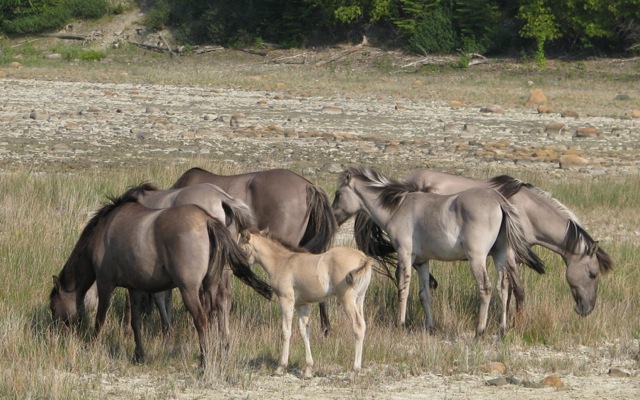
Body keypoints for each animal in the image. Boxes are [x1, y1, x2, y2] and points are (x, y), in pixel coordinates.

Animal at [48, 186, 272, 368]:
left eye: (53, 307)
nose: (57, 335)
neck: (105, 230)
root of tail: (207, 220)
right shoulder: (135, 287)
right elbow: (136, 321)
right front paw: (138, 354)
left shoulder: (105, 283)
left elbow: (100, 319)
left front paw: (93, 347)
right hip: (211, 283)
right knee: (214, 313)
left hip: (189, 289)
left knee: (201, 320)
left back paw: (204, 360)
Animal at [240, 228, 372, 378]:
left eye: (242, 248)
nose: (241, 269)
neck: (281, 262)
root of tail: (363, 258)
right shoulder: (301, 304)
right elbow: (305, 331)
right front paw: (308, 370)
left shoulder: (286, 300)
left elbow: (286, 331)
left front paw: (281, 367)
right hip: (359, 299)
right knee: (363, 325)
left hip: (347, 299)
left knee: (357, 326)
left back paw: (354, 370)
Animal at [330, 167, 544, 336]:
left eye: (338, 194)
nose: (333, 219)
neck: (398, 207)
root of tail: (500, 202)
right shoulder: (422, 262)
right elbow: (424, 294)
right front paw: (430, 326)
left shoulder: (404, 255)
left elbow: (403, 288)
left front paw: (400, 323)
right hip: (500, 254)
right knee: (504, 288)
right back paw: (502, 330)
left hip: (478, 258)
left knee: (486, 288)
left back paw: (479, 331)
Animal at [400, 169, 616, 316]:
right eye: (592, 274)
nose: (587, 309)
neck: (526, 212)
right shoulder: (511, 255)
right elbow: (520, 292)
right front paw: (519, 322)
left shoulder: (514, 258)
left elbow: (510, 291)